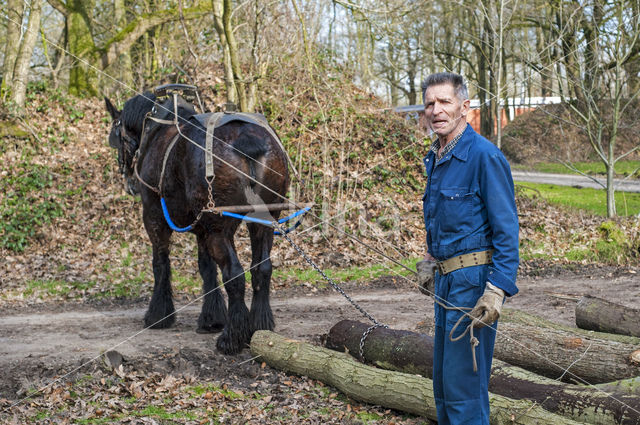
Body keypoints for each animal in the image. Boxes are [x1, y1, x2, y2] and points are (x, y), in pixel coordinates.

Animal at [105, 90, 290, 354]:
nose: (129, 181)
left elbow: (160, 264)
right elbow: (207, 269)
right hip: (261, 222)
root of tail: (247, 141)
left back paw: (231, 337)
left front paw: (158, 315)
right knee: (262, 269)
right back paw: (259, 324)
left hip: (218, 228)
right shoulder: (202, 229)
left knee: (234, 274)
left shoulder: (154, 217)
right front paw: (211, 318)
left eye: (118, 134)